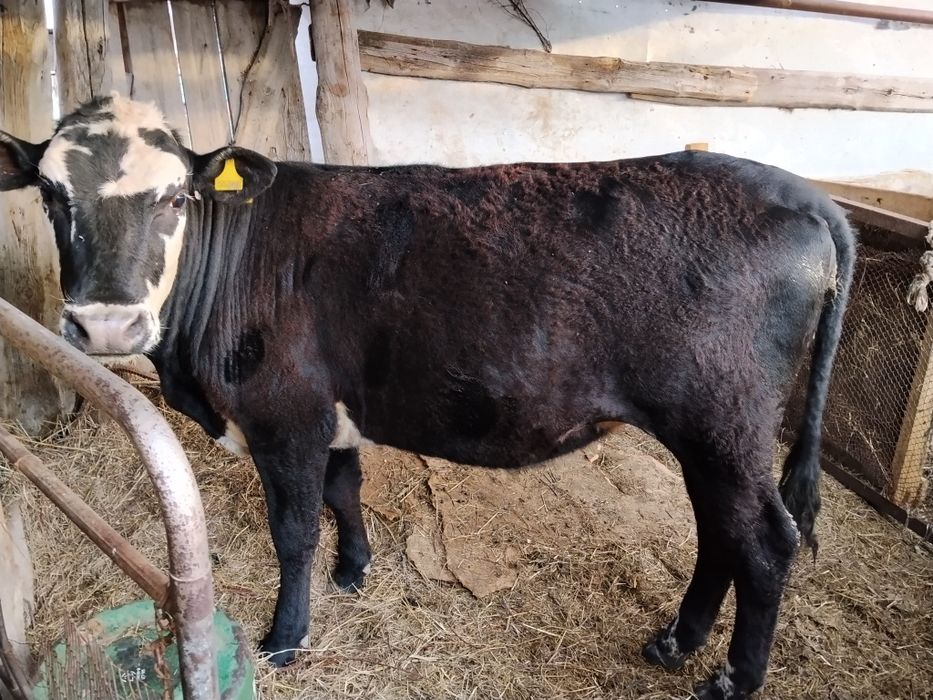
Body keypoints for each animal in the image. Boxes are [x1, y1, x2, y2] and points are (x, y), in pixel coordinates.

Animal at [0, 94, 854, 699]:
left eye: (176, 198)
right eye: (48, 194)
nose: (105, 323)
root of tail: (800, 193)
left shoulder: (285, 415)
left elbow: (293, 530)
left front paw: (286, 635)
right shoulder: (332, 413)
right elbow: (344, 491)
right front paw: (355, 569)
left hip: (721, 421)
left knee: (764, 541)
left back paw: (730, 679)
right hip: (708, 434)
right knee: (718, 533)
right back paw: (675, 641)